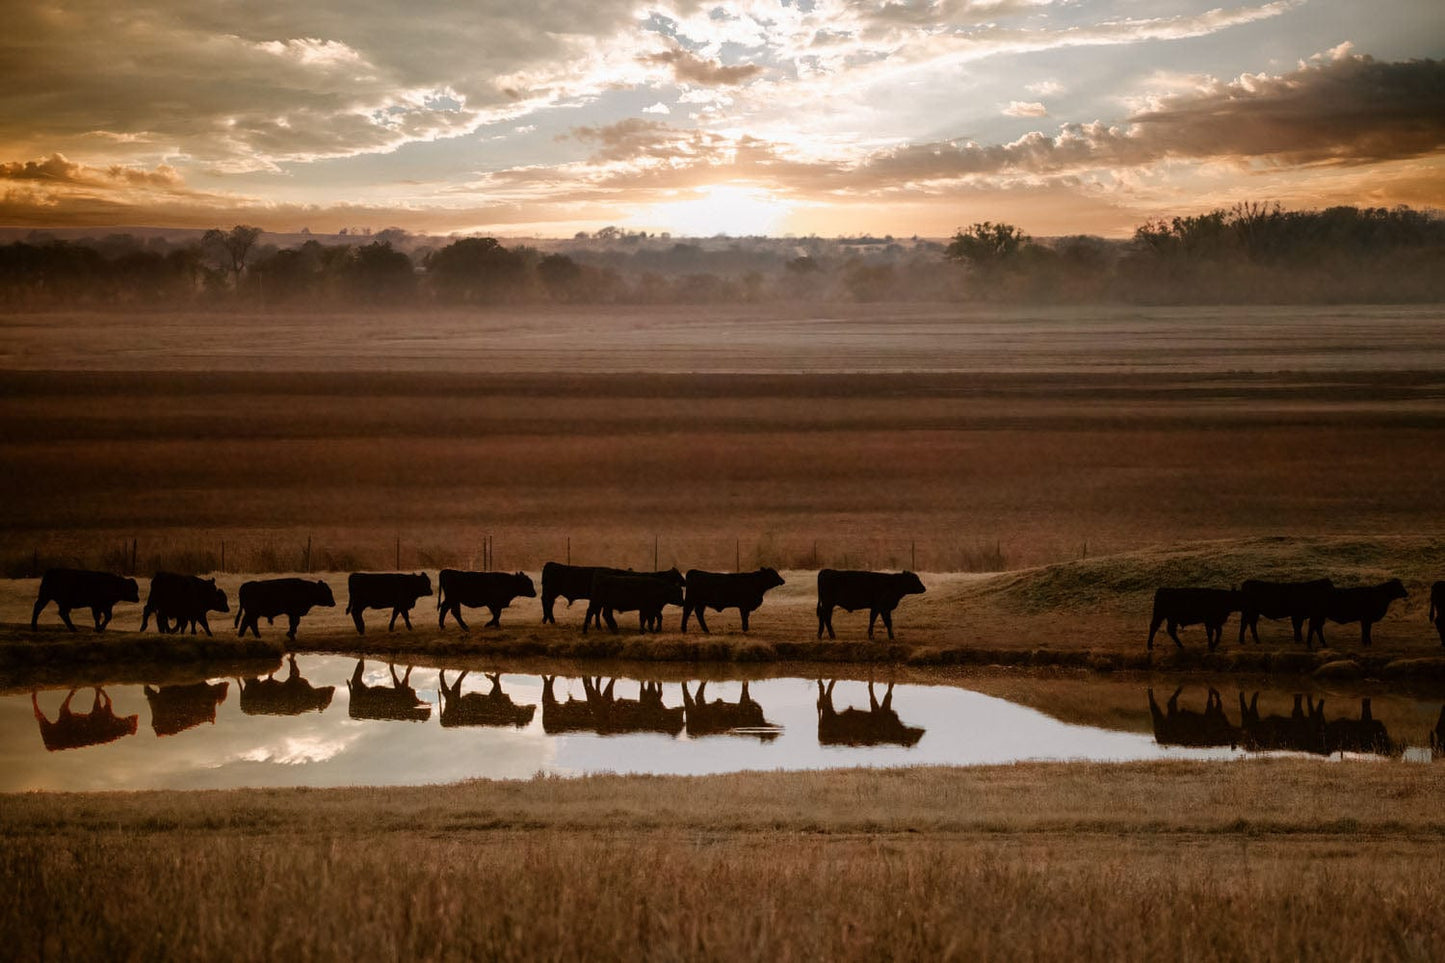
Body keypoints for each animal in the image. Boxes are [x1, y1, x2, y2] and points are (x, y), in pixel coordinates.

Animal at [540, 562, 684, 626]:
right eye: (678, 575)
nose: (685, 581)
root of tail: (550, 564)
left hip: (552, 592)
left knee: (548, 604)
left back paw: (548, 620)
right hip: (551, 591)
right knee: (547, 603)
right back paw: (549, 620)